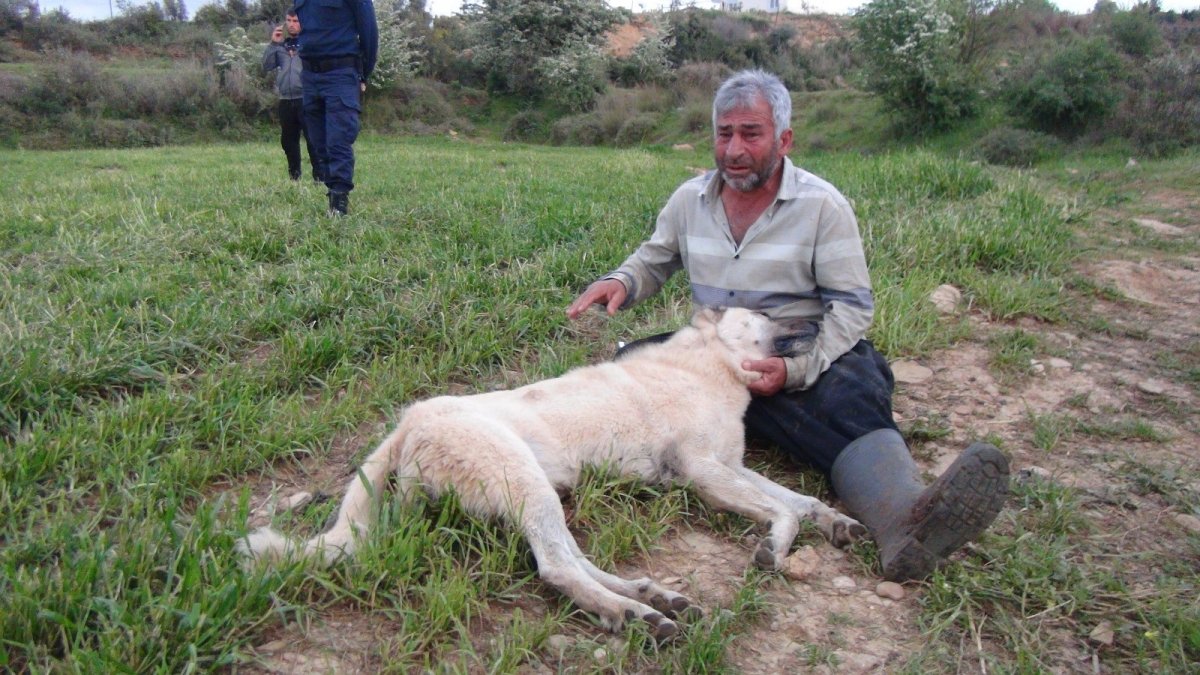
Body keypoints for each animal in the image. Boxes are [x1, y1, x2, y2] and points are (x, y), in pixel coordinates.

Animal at [241, 307, 864, 638]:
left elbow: (802, 502)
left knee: (574, 559)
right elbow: (785, 511)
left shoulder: (730, 467)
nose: (821, 315)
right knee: (557, 569)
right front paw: (774, 549)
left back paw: (650, 595)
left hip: (540, 499)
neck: (709, 367)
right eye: (764, 313)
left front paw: (839, 524)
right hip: (530, 488)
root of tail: (410, 421)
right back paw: (633, 612)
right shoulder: (704, 472)